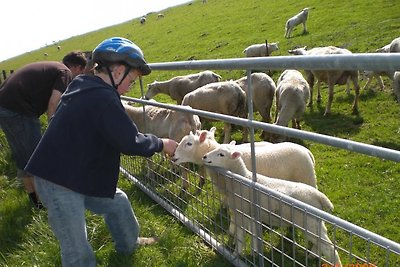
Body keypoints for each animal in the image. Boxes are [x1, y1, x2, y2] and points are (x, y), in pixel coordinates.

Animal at [202, 142, 342, 266]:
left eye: (221, 154)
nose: (204, 156)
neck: (242, 178)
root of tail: (320, 197)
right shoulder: (251, 214)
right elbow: (253, 233)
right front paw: (254, 252)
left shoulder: (241, 212)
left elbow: (240, 235)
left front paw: (236, 254)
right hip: (315, 221)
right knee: (322, 240)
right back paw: (313, 255)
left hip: (308, 221)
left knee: (329, 247)